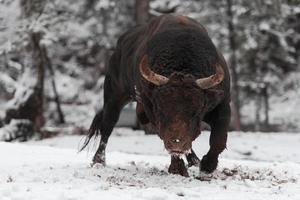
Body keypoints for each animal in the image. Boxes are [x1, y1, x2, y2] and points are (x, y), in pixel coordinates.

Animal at [79, 14, 230, 177]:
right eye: (161, 109)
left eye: (197, 111)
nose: (177, 142)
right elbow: (163, 133)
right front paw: (178, 169)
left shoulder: (223, 105)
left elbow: (219, 139)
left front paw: (207, 165)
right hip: (114, 95)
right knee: (107, 125)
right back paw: (98, 160)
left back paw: (194, 160)